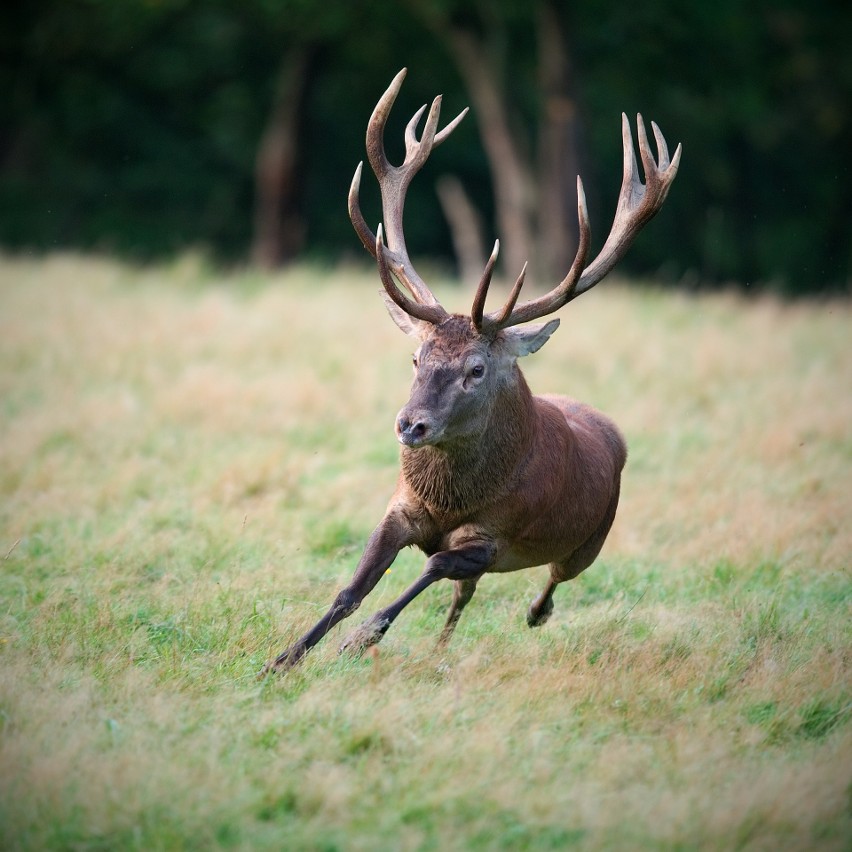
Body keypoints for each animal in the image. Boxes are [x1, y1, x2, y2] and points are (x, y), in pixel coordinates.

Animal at [262, 68, 684, 672]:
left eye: (477, 370)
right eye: (416, 357)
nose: (410, 425)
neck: (449, 499)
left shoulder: (493, 537)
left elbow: (432, 566)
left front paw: (361, 638)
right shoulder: (401, 508)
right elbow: (351, 587)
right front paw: (284, 658)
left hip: (590, 540)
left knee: (551, 581)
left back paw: (534, 613)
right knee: (464, 598)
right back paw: (441, 649)